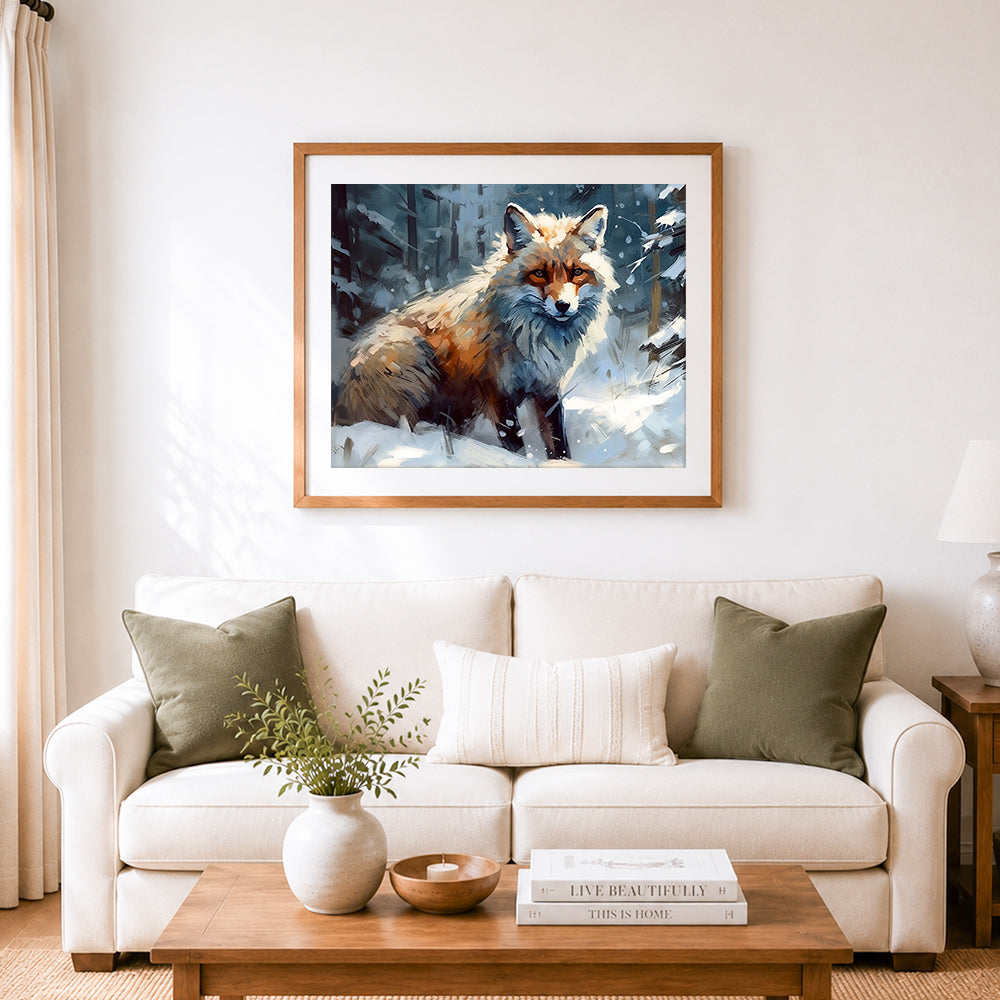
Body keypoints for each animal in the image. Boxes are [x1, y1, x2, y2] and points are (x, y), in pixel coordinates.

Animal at [334, 201, 618, 461]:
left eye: (577, 272)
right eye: (539, 273)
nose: (563, 306)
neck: (533, 339)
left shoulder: (547, 388)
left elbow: (558, 442)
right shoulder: (496, 389)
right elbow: (514, 443)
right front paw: (518, 464)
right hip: (414, 359)